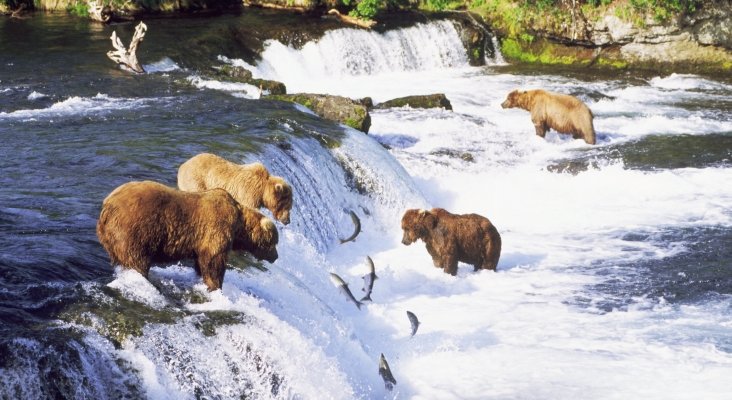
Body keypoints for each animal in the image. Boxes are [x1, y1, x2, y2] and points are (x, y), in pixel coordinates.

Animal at [97, 180, 280, 290]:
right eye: (274, 242)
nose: (276, 257)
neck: (238, 225)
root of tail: (107, 205)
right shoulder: (217, 229)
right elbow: (214, 261)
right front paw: (215, 286)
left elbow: (201, 261)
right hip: (135, 231)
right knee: (136, 259)